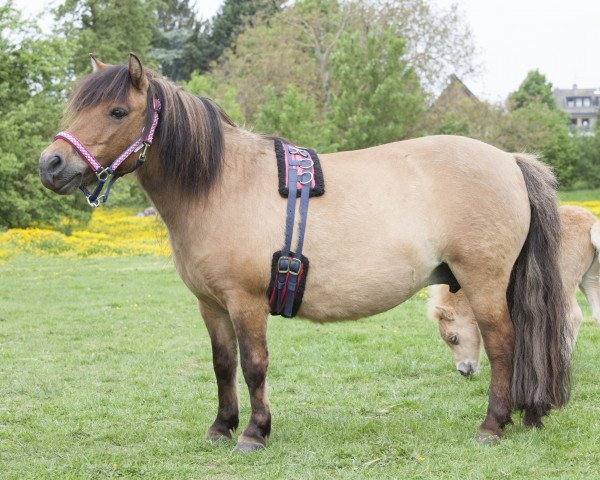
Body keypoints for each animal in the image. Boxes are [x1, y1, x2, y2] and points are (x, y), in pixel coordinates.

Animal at [38, 55, 572, 450]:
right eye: (75, 107)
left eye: (117, 112)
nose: (51, 164)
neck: (219, 185)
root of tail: (509, 161)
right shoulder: (211, 304)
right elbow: (222, 364)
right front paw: (221, 426)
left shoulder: (246, 301)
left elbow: (254, 363)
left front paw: (254, 433)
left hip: (484, 282)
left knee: (503, 344)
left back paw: (492, 426)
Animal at [432, 204, 600, 376]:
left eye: (453, 338)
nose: (463, 371)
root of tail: (590, 222)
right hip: (590, 280)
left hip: (565, 281)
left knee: (572, 316)